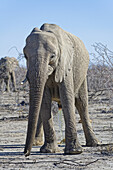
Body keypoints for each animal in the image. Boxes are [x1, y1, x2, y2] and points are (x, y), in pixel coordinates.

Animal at [23, 23, 99, 156]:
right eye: (25, 56)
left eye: (53, 56)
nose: (26, 153)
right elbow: (44, 101)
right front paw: (49, 150)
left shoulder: (66, 64)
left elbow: (67, 98)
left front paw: (74, 152)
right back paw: (36, 143)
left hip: (83, 76)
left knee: (82, 104)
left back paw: (94, 144)